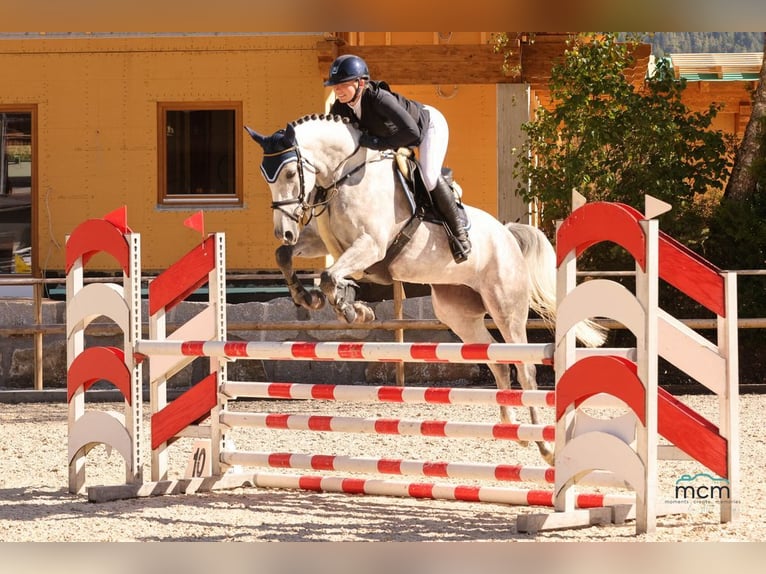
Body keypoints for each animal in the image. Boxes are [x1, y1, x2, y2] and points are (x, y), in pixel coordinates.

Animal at [244, 113, 608, 468]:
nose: (284, 230)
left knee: (526, 369)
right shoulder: (327, 243)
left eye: (289, 172)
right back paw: (511, 427)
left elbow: (330, 276)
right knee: (499, 363)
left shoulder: (371, 245)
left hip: (506, 309)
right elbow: (289, 258)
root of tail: (507, 235)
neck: (345, 175)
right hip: (458, 313)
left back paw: (545, 447)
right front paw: (309, 297)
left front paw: (351, 309)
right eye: (265, 176)